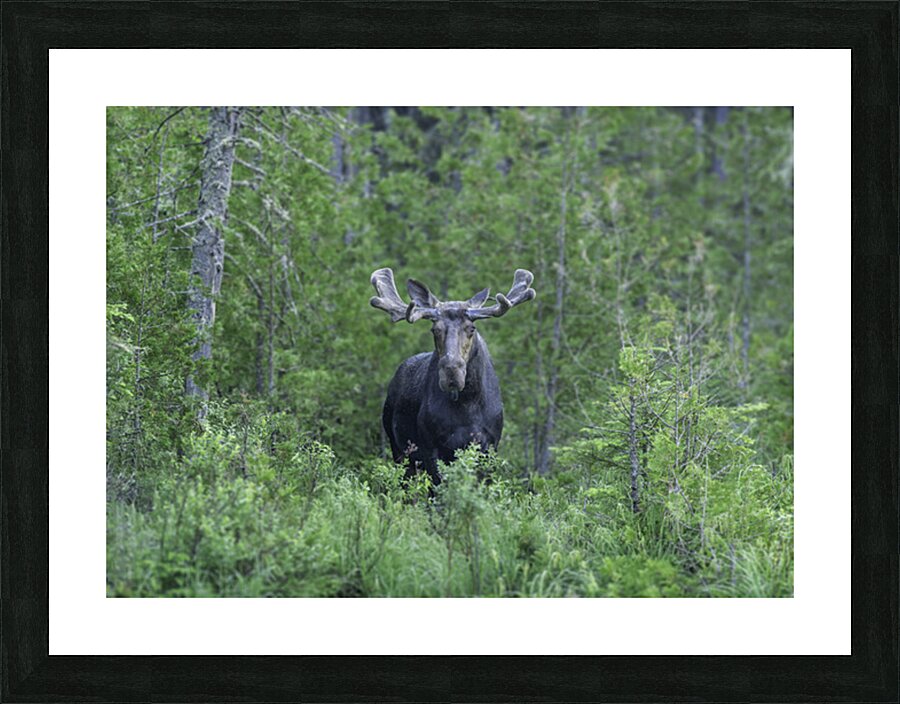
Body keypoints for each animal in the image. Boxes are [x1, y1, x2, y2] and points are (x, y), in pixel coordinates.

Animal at [369, 268, 535, 485]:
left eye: (471, 328)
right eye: (434, 329)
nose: (451, 371)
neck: (467, 403)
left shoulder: (490, 447)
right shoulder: (430, 447)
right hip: (398, 450)